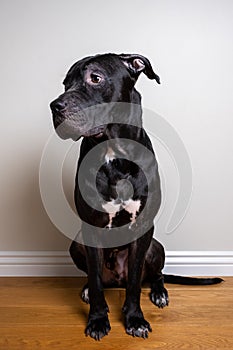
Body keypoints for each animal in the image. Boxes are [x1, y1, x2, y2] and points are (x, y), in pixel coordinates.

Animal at [50, 53, 223, 340]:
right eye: (65, 83)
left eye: (95, 78)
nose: (55, 106)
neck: (113, 152)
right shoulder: (91, 229)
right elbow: (96, 282)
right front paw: (97, 319)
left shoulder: (142, 229)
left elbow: (133, 282)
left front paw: (134, 318)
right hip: (76, 245)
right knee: (97, 279)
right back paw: (86, 289)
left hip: (155, 245)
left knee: (154, 275)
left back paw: (159, 292)